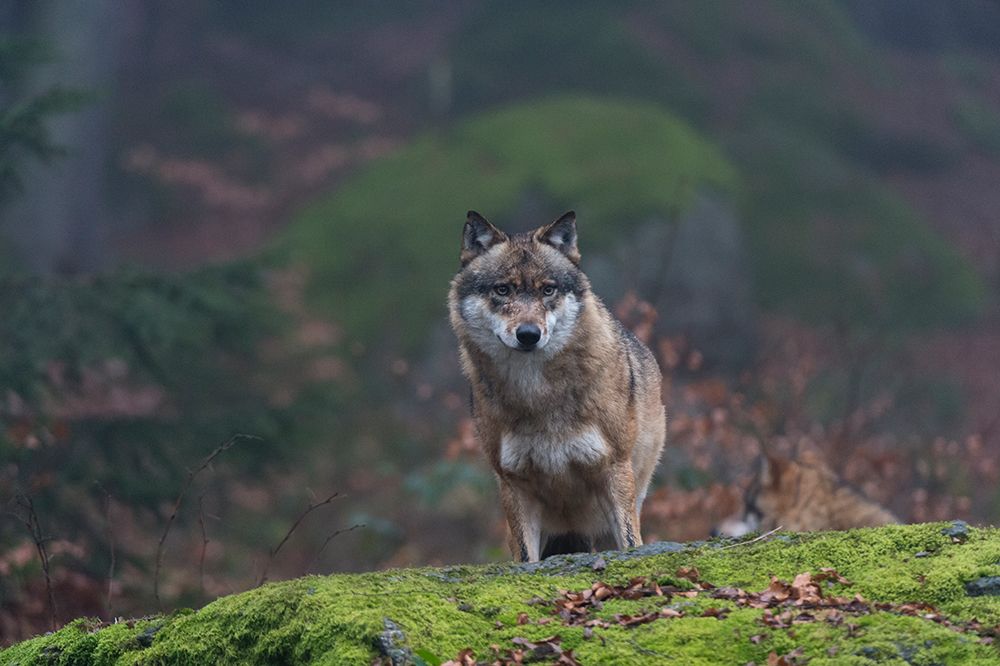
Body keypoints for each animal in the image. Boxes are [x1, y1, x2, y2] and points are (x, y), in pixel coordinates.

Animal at [448, 210, 666, 562]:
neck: (537, 394)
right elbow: (526, 558)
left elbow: (631, 542)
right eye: (503, 290)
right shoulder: (513, 484)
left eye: (548, 290)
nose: (528, 334)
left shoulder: (614, 469)